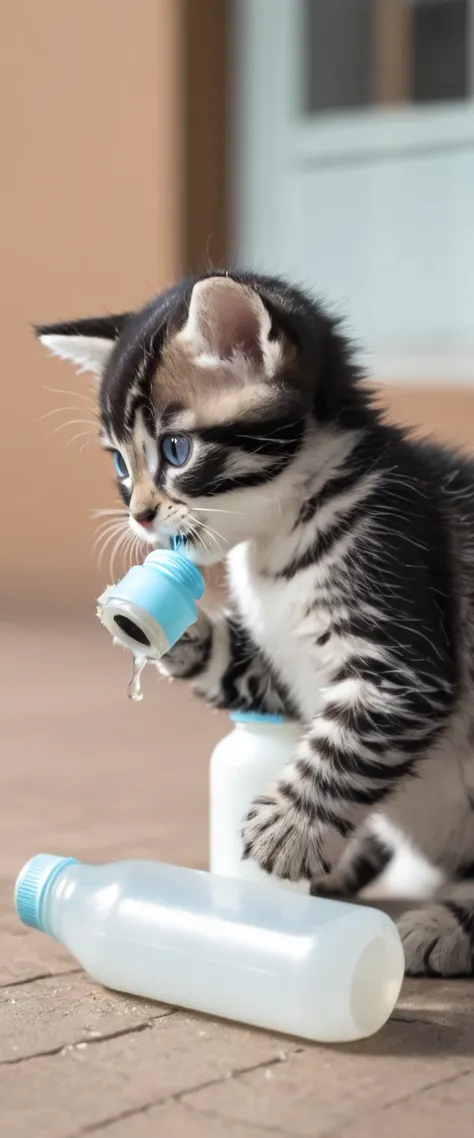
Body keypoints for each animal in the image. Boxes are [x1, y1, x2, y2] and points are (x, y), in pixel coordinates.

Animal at [37, 270, 474, 974]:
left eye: (176, 450)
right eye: (121, 466)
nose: (139, 516)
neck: (279, 539)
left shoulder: (399, 643)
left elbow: (345, 744)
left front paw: (289, 830)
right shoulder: (282, 675)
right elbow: (235, 667)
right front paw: (172, 630)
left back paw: (443, 924)